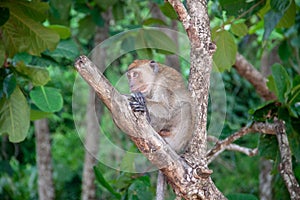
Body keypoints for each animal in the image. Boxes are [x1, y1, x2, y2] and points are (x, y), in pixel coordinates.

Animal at [126, 59, 195, 200]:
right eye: (129, 76)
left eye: (135, 74)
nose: (131, 84)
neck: (156, 77)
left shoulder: (164, 83)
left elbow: (166, 110)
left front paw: (140, 99)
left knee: (186, 108)